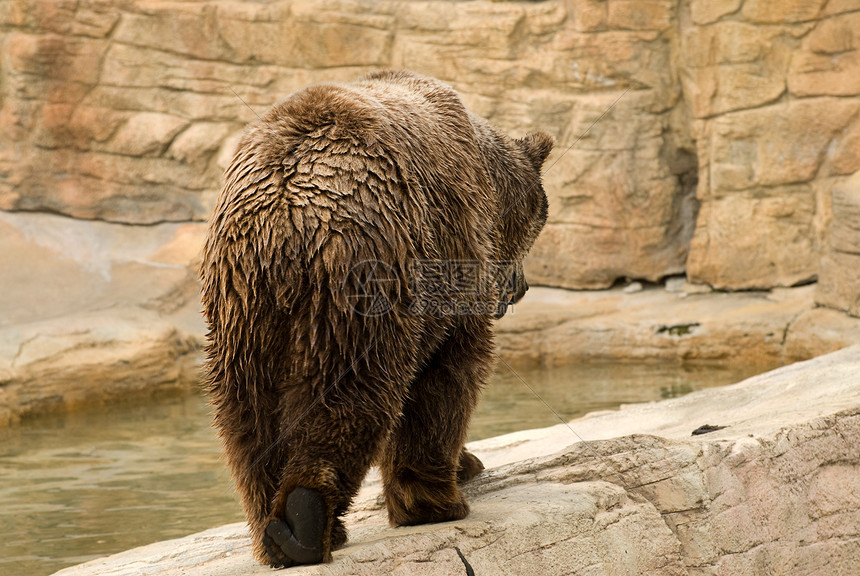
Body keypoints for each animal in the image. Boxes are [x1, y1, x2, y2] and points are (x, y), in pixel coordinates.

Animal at [202, 68, 552, 568]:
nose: (519, 289)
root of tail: (285, 217)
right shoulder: (448, 251)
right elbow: (447, 377)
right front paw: (438, 498)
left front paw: (464, 466)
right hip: (363, 272)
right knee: (355, 389)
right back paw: (307, 520)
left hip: (242, 303)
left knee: (246, 410)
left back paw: (276, 531)